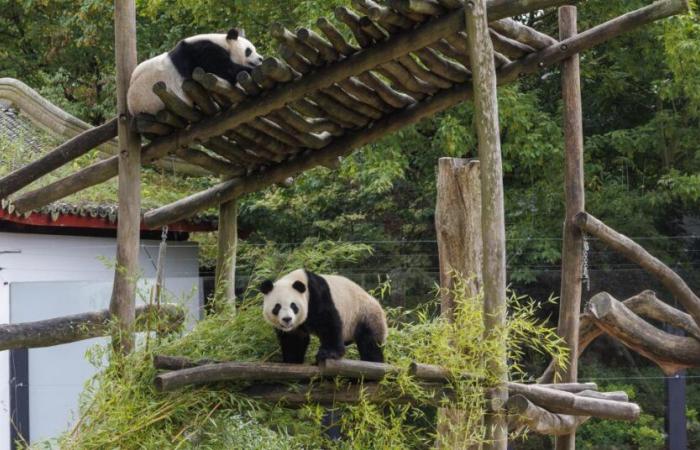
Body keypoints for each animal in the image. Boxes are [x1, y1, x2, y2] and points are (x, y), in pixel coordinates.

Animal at [127, 28, 264, 116]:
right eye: (249, 51)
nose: (261, 58)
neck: (223, 43)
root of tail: (132, 109)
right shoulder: (202, 52)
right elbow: (224, 70)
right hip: (154, 101)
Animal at [260, 268, 388, 364]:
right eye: (277, 307)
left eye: (293, 306)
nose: (287, 319)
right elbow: (294, 339)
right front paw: (292, 360)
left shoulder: (316, 295)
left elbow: (328, 322)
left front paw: (328, 353)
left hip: (365, 314)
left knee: (369, 341)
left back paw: (373, 361)